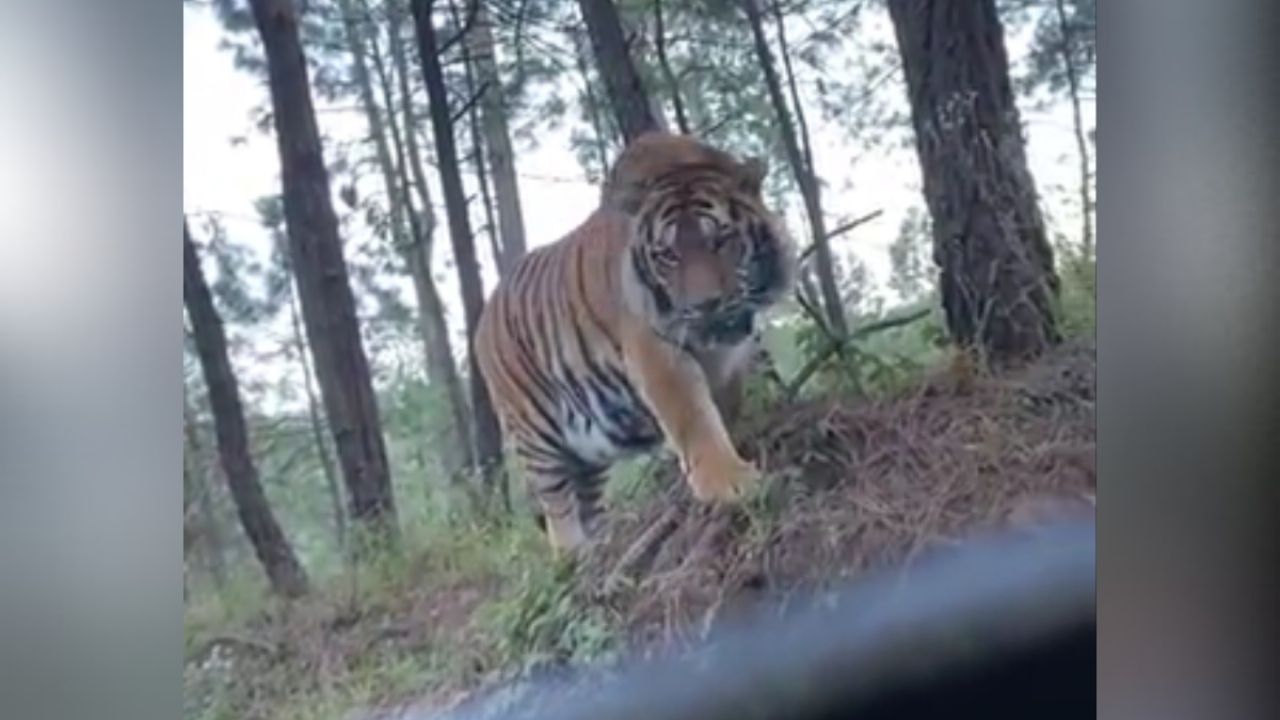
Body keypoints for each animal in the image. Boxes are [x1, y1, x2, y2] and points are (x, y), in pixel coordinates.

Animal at [474, 132, 795, 554]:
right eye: (668, 255)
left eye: (721, 240)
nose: (704, 305)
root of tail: (483, 317)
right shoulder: (656, 350)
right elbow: (693, 418)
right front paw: (730, 484)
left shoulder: (733, 357)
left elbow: (724, 408)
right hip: (534, 430)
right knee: (557, 502)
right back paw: (573, 554)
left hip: (589, 450)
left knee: (585, 499)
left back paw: (599, 544)